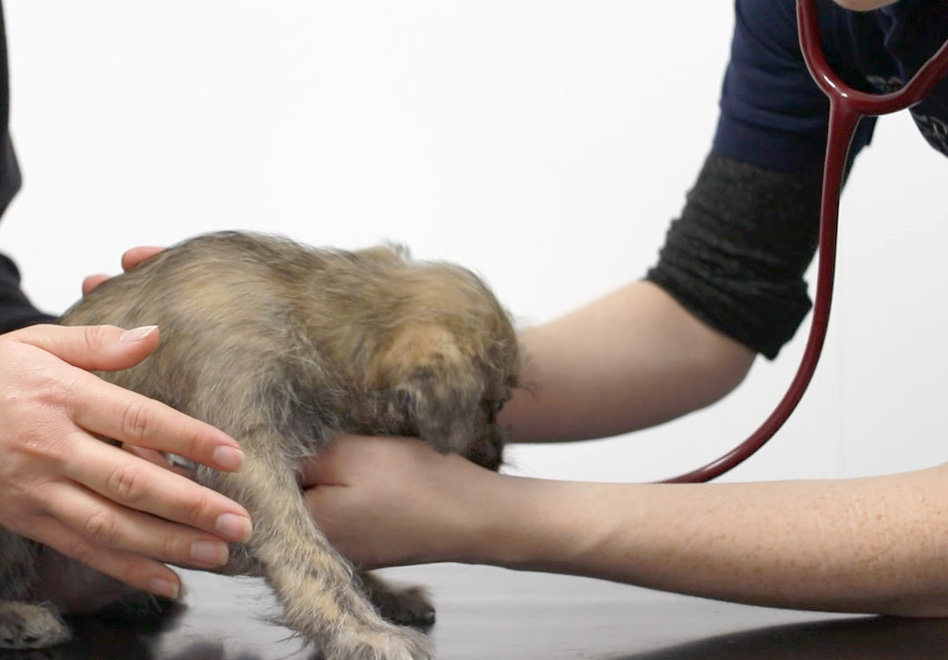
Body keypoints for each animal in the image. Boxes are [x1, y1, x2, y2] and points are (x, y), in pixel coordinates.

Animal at [0, 231, 520, 660]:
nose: (496, 464)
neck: (310, 313)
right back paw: (19, 616)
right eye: (494, 403)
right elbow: (309, 555)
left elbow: (333, 550)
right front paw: (362, 632)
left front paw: (381, 597)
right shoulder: (247, 457)